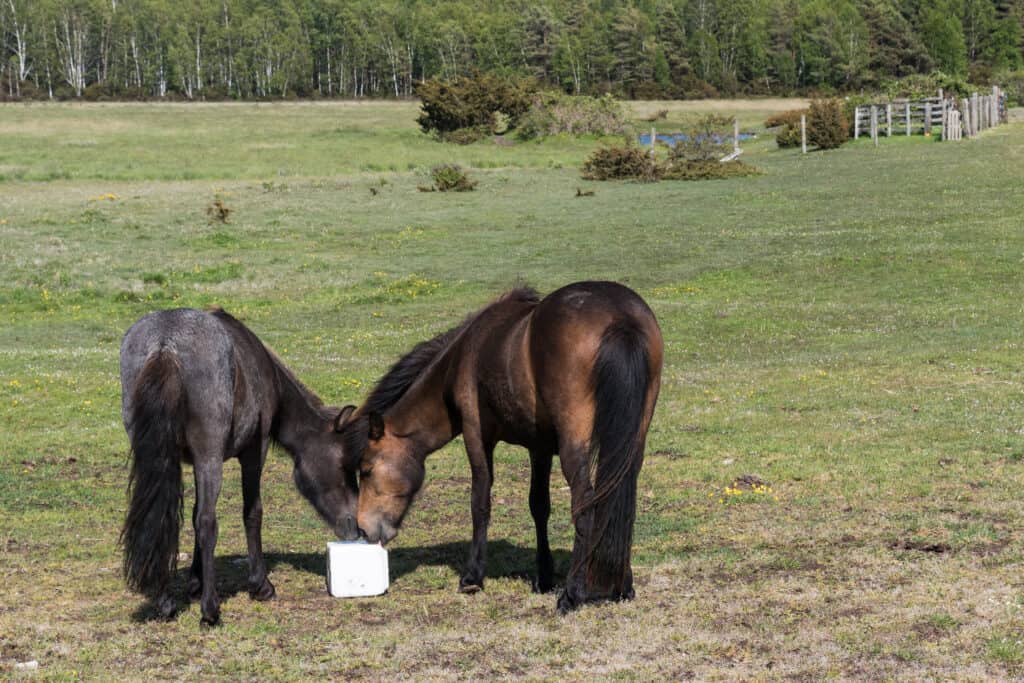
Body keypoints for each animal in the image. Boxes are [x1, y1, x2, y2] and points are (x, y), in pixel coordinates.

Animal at [120, 309, 362, 626]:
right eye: (345, 468)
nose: (356, 526)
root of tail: (165, 345)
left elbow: (194, 514)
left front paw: (195, 584)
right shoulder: (253, 453)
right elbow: (251, 512)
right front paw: (260, 585)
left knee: (163, 520)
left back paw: (165, 602)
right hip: (210, 457)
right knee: (208, 522)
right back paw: (210, 610)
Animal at [337, 280, 663, 610]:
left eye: (366, 469)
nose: (363, 529)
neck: (463, 356)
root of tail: (619, 318)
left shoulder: (476, 436)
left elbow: (480, 502)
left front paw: (472, 577)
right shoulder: (539, 447)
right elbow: (539, 506)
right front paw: (543, 577)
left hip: (575, 447)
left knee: (585, 505)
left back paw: (572, 594)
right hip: (630, 443)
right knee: (620, 498)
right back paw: (622, 586)